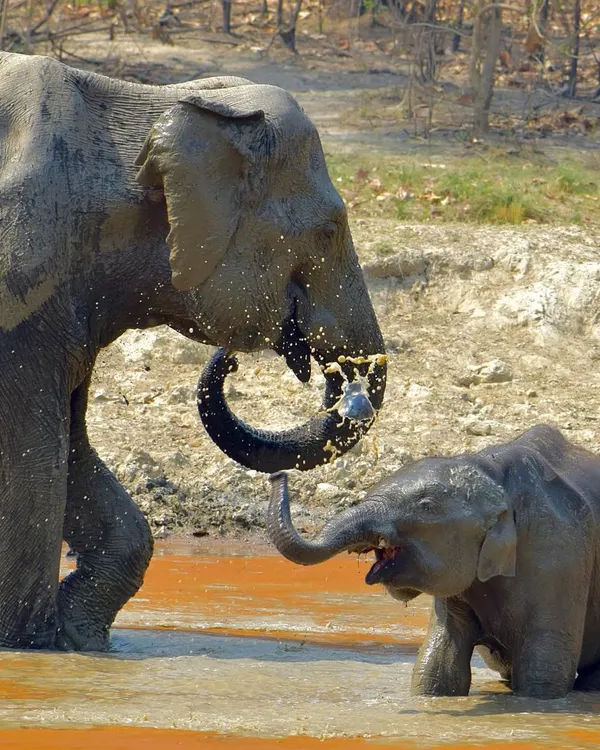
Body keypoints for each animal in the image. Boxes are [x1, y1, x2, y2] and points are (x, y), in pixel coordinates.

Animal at [0, 51, 386, 652]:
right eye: (329, 231)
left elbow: (69, 450)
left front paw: (80, 640)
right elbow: (34, 468)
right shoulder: (25, 274)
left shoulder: (62, 303)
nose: (229, 359)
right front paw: (33, 649)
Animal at [268, 424, 600, 699]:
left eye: (426, 506)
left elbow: (543, 676)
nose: (277, 475)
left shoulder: (561, 555)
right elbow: (440, 665)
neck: (494, 473)